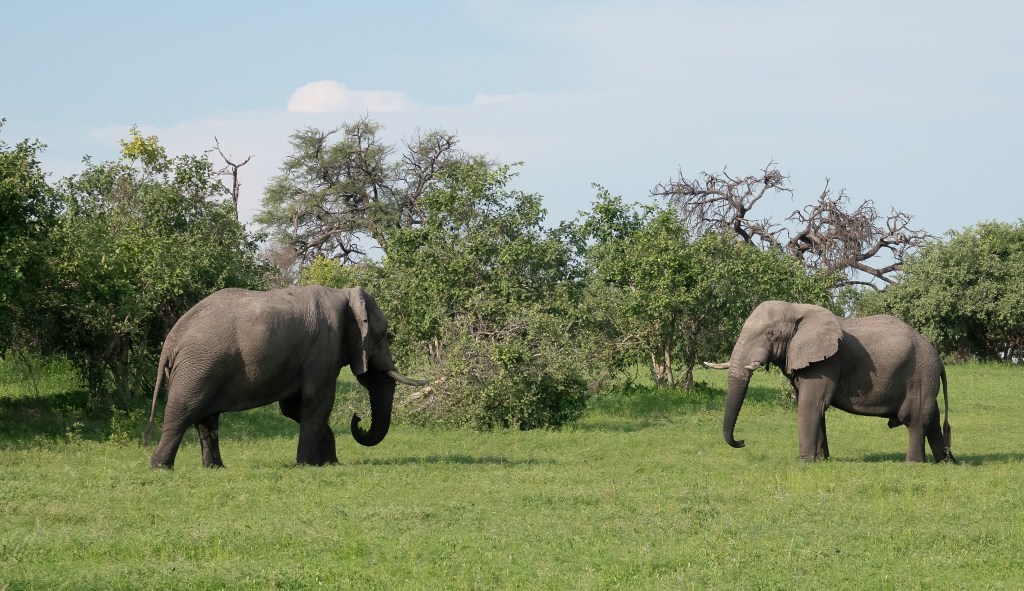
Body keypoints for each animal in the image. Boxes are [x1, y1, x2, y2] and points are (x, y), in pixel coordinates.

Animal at [144, 285, 426, 469]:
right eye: (381, 337)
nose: (357, 418)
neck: (344, 294)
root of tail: (171, 339)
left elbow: (294, 407)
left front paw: (328, 464)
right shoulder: (323, 348)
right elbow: (318, 402)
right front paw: (306, 465)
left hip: (203, 368)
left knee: (206, 420)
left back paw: (215, 468)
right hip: (198, 367)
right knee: (182, 413)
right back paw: (161, 468)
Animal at [705, 300, 955, 463]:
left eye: (770, 334)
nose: (742, 441)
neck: (796, 308)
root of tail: (939, 358)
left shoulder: (827, 362)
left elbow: (810, 405)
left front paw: (806, 463)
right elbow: (816, 408)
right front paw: (821, 460)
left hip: (921, 374)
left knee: (916, 419)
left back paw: (914, 464)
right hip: (925, 377)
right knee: (932, 418)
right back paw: (946, 463)